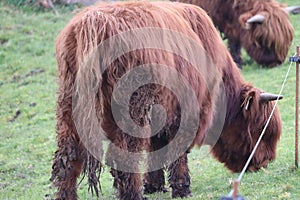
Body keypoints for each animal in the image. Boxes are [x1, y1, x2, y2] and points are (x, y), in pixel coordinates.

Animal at [50, 0, 282, 199]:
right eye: (261, 129)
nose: (265, 162)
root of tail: (94, 21)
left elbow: (157, 147)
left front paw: (154, 185)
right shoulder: (186, 111)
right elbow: (177, 150)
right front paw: (182, 188)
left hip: (69, 107)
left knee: (67, 160)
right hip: (131, 110)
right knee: (124, 158)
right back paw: (133, 195)